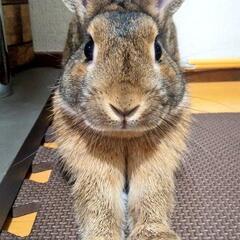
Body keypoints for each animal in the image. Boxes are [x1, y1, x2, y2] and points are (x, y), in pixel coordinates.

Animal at [53, 0, 190, 240]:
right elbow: (100, 198)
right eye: (88, 48)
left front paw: (155, 235)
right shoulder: (93, 166)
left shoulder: (155, 162)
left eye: (157, 49)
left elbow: (151, 191)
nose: (124, 105)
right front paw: (102, 235)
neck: (123, 137)